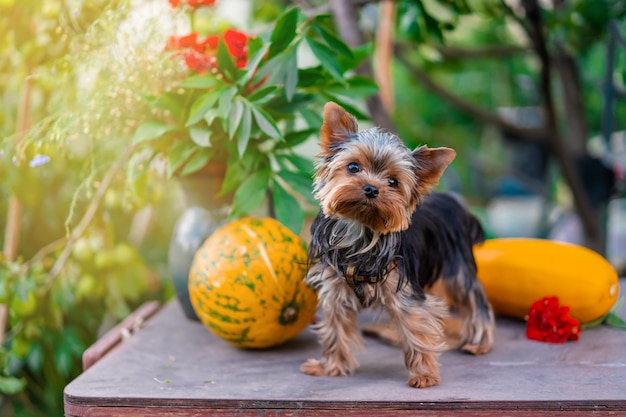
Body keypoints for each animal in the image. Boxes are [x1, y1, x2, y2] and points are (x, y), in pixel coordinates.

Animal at [300, 102, 494, 388]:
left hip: (456, 267)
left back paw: (479, 343)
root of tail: (453, 201)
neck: (361, 233)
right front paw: (332, 366)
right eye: (353, 167)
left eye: (392, 182)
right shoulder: (335, 289)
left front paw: (424, 375)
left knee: (475, 301)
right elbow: (335, 328)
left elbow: (417, 328)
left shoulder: (404, 292)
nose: (371, 189)